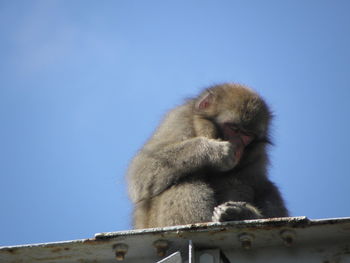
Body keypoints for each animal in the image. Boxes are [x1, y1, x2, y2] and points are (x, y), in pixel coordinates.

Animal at [127, 84, 288, 229]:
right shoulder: (179, 120)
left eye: (247, 135)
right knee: (185, 180)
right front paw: (214, 151)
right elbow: (142, 170)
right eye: (234, 128)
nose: (237, 147)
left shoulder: (257, 158)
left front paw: (243, 213)